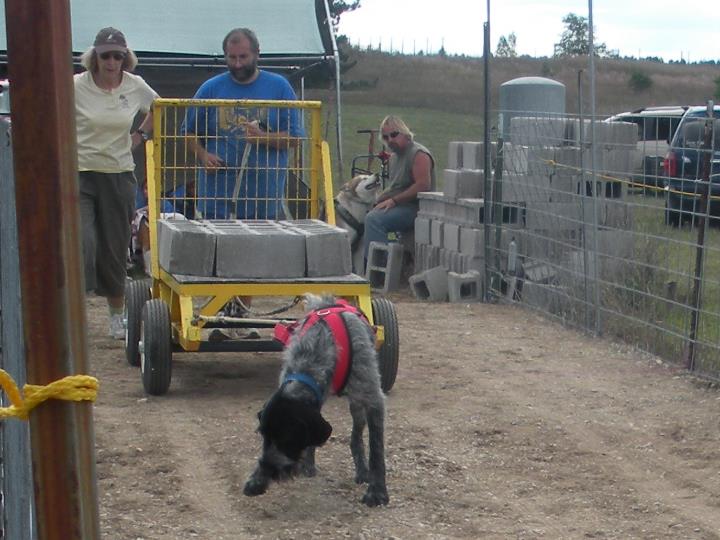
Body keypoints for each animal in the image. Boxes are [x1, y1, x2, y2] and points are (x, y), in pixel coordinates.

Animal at [242, 294, 388, 504]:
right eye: (264, 437)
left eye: (286, 438)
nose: (269, 471)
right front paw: (258, 479)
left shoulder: (373, 398)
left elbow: (376, 449)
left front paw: (377, 491)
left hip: (357, 402)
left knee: (357, 434)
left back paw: (361, 469)